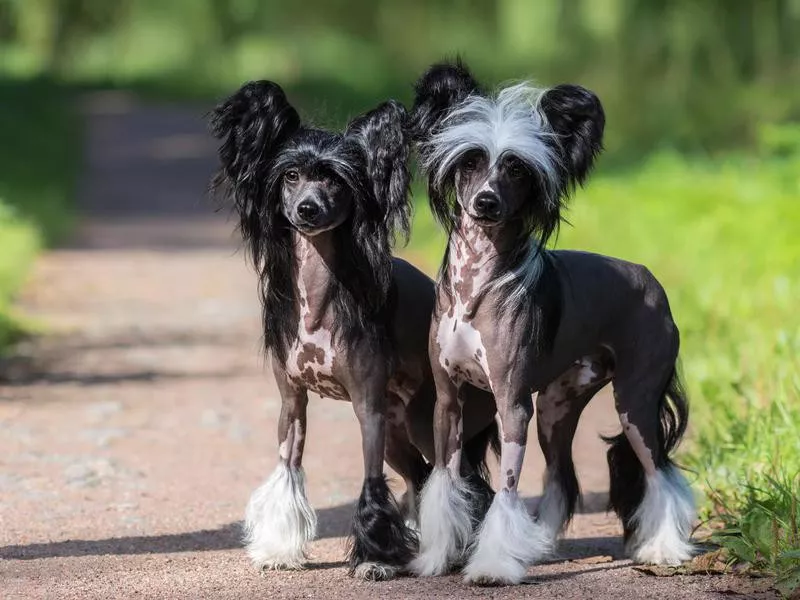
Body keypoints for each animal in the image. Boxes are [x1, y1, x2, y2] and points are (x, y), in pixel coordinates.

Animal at [209, 81, 496, 580]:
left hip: (431, 421)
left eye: (334, 180)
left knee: (467, 485)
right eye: (290, 176)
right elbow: (288, 474)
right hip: (401, 430)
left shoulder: (369, 409)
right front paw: (280, 550)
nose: (307, 209)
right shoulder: (292, 405)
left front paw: (375, 559)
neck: (317, 298)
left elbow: (371, 484)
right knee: (421, 477)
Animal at [406, 62, 692, 584]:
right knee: (562, 478)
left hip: (634, 402)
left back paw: (663, 549)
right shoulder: (449, 401)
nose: (486, 202)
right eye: (470, 162)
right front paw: (435, 558)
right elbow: (443, 483)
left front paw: (492, 566)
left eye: (516, 168)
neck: (475, 288)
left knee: (660, 473)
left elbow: (506, 493)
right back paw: (539, 547)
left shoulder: (513, 405)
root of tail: (649, 279)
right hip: (558, 407)